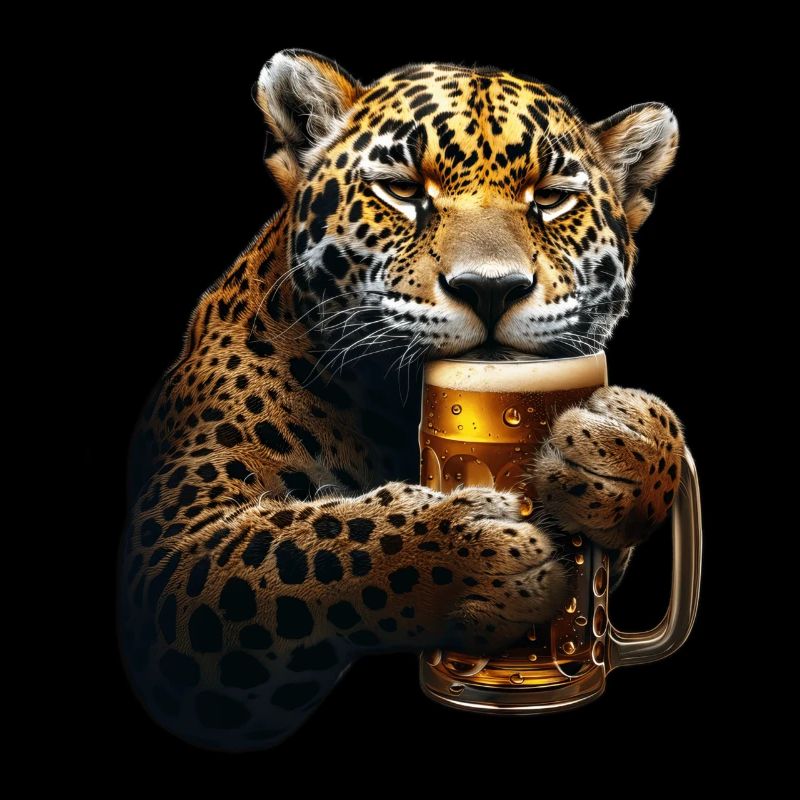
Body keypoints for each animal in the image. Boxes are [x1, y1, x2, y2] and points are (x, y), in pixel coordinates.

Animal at [118, 49, 685, 751]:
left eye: (552, 199)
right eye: (404, 189)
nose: (491, 288)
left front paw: (625, 447)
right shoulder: (168, 557)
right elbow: (303, 548)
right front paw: (472, 552)